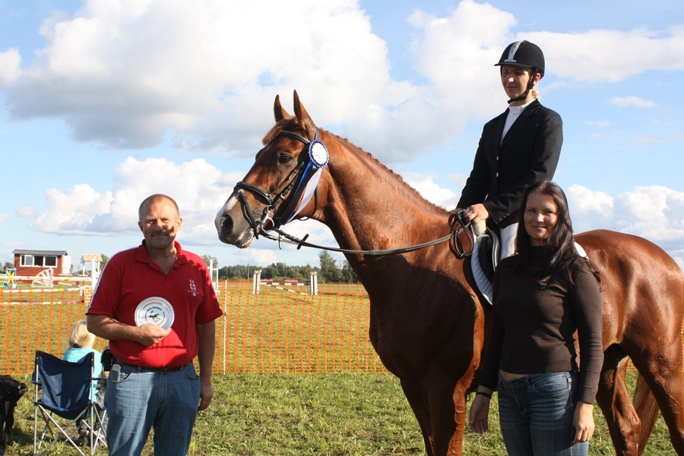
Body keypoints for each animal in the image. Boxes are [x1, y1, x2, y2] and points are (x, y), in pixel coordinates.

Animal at [214, 91, 684, 454]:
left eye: (283, 156)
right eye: (257, 152)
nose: (226, 221)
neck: (409, 263)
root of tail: (662, 259)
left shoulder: (447, 391)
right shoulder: (414, 387)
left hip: (663, 367)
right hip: (603, 366)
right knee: (627, 431)